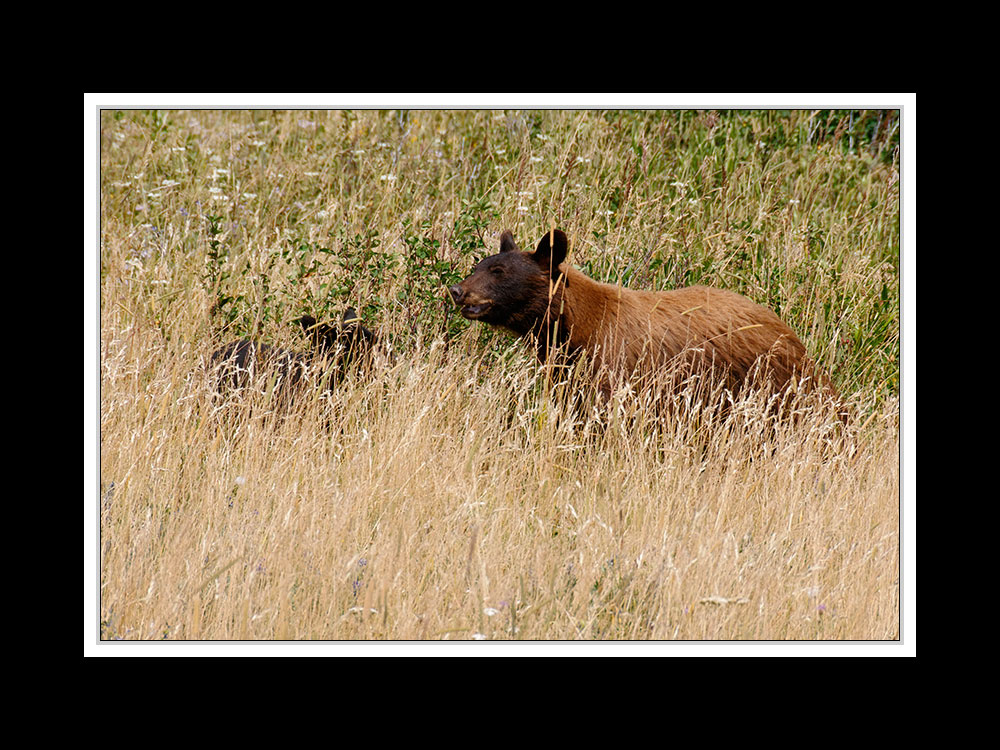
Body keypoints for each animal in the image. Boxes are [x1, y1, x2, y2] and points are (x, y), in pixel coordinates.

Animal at [450, 229, 832, 406]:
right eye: (478, 266)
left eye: (498, 271)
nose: (457, 290)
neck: (578, 326)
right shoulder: (567, 371)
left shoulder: (617, 366)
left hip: (773, 383)